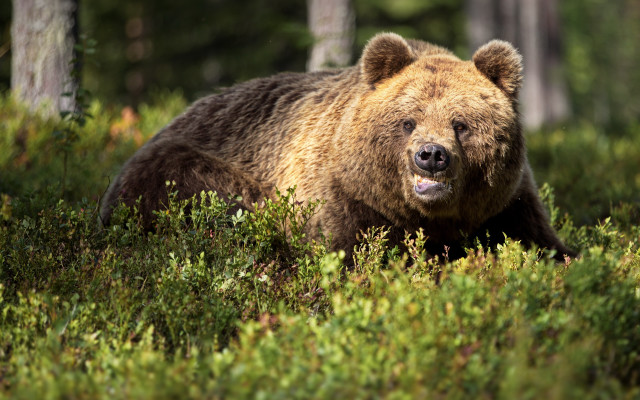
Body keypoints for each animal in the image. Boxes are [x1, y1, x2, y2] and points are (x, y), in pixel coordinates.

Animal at [100, 32, 576, 262]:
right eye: (408, 121)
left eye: (461, 124)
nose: (430, 155)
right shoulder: (343, 197)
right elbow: (348, 254)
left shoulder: (506, 203)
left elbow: (543, 243)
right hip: (181, 170)